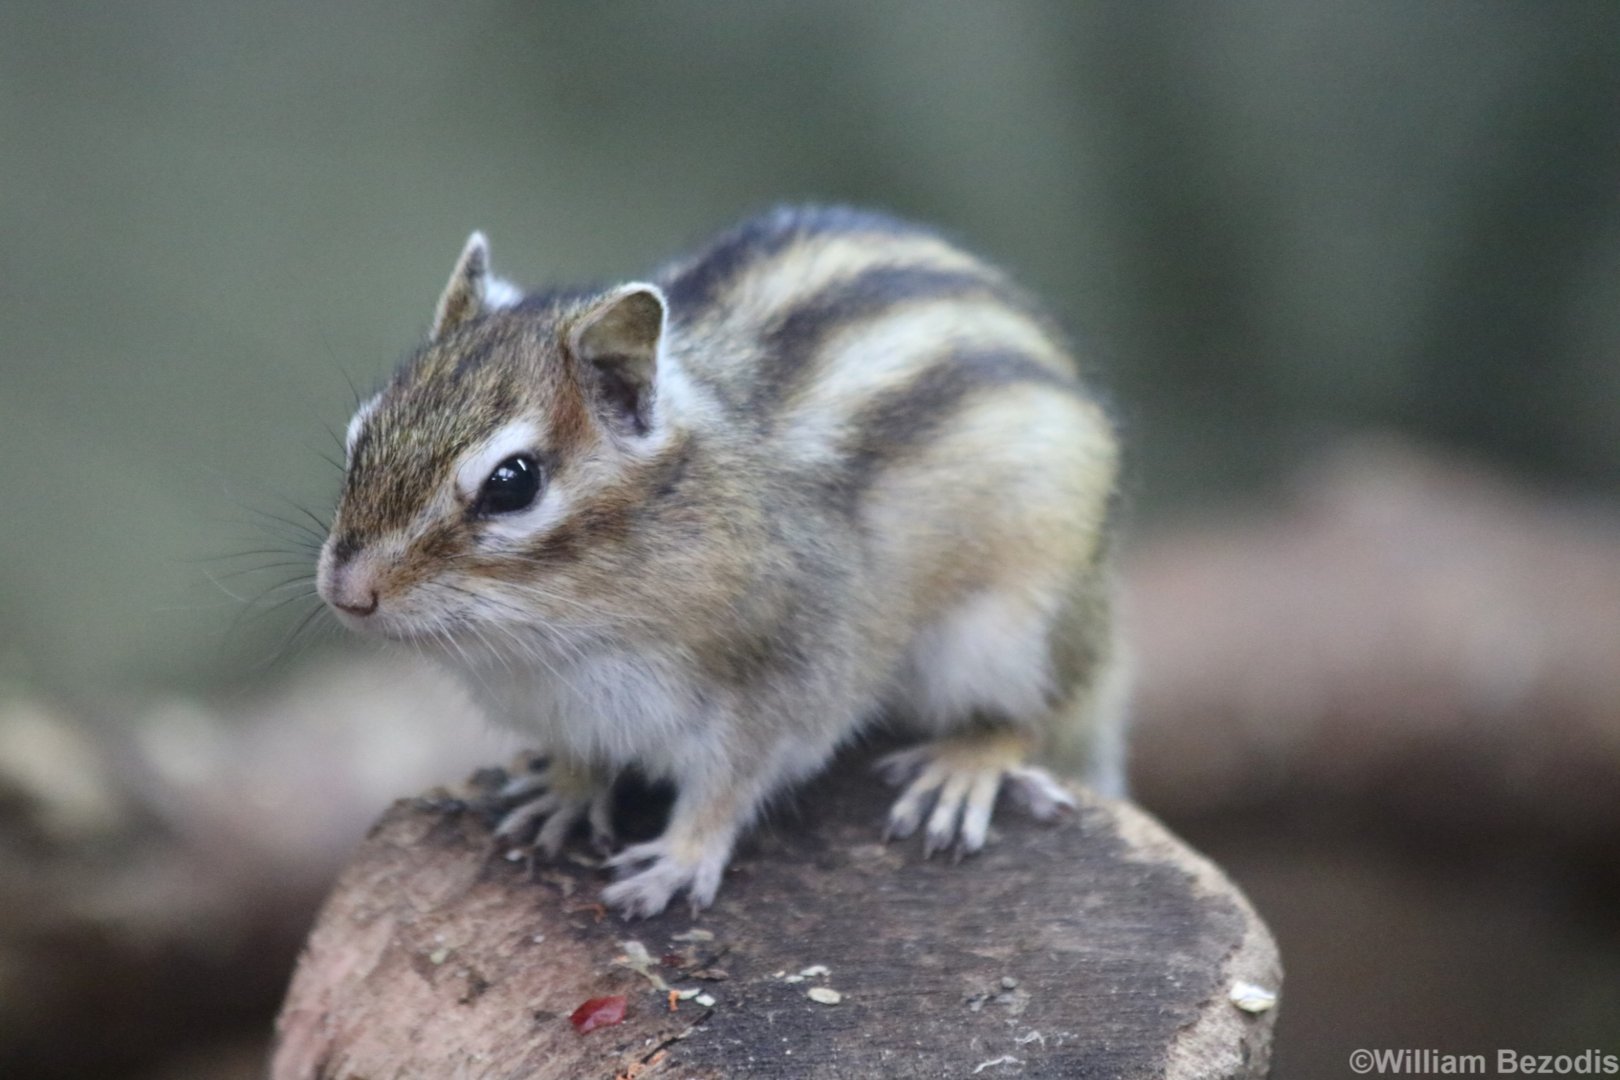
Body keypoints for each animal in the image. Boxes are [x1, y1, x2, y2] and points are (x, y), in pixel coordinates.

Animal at [317, 206, 1127, 917]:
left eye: (513, 483)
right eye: (360, 435)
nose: (347, 592)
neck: (555, 635)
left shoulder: (786, 686)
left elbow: (729, 788)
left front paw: (678, 861)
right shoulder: (568, 713)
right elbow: (583, 759)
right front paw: (564, 790)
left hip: (1014, 630)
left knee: (1033, 714)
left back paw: (965, 766)